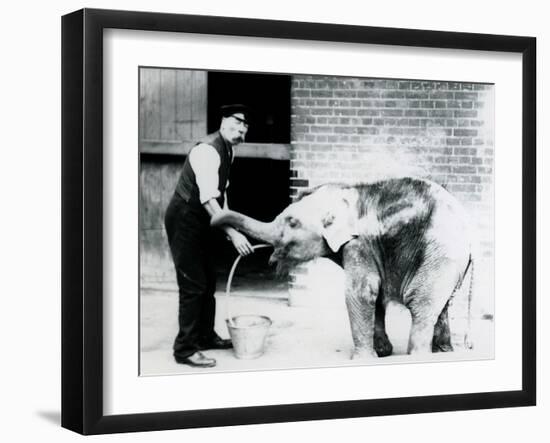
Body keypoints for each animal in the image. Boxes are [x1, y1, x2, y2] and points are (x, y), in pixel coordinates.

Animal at [211, 178, 474, 360]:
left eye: (292, 222)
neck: (346, 191)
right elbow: (376, 293)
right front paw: (382, 352)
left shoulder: (359, 244)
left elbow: (361, 292)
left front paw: (363, 359)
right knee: (442, 305)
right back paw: (444, 353)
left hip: (440, 257)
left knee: (421, 304)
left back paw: (419, 356)